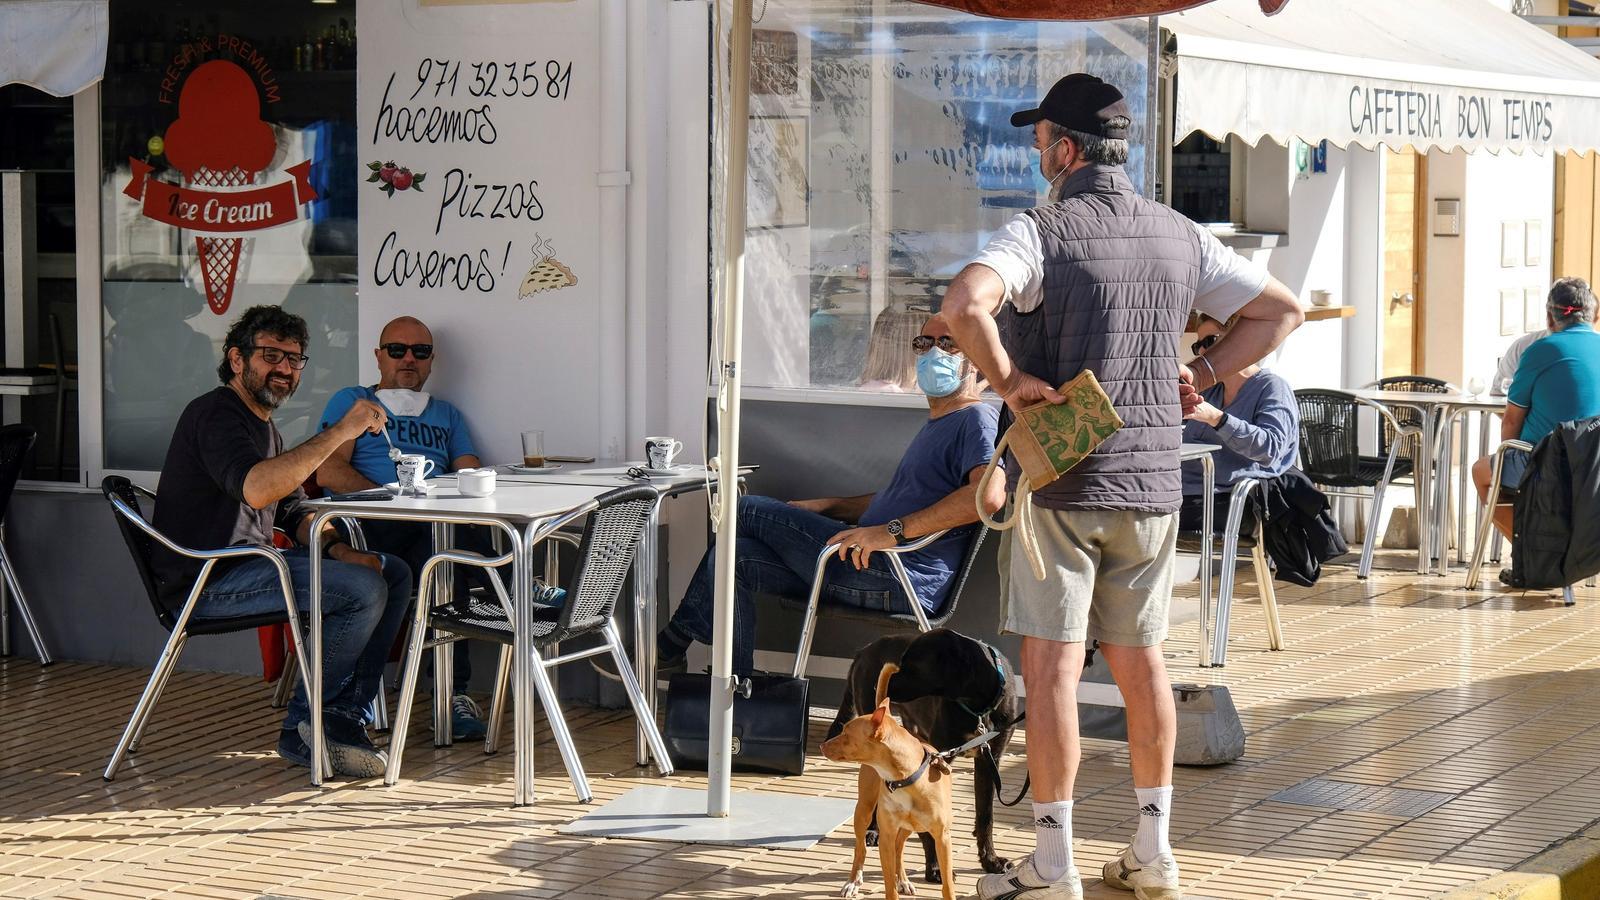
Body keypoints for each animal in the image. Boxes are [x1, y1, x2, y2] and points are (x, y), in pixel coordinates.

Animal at [825, 659, 947, 896]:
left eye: (846, 734)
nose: (821, 746)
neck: (906, 778)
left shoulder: (941, 836)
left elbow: (947, 884)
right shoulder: (887, 833)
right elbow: (887, 877)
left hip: (908, 826)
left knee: (899, 847)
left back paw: (903, 879)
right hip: (864, 810)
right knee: (860, 847)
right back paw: (853, 881)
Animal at [832, 627, 1017, 877]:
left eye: (912, 665)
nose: (877, 685)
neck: (977, 707)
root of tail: (863, 651)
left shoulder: (990, 760)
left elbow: (985, 816)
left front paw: (991, 861)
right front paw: (936, 866)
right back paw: (874, 830)